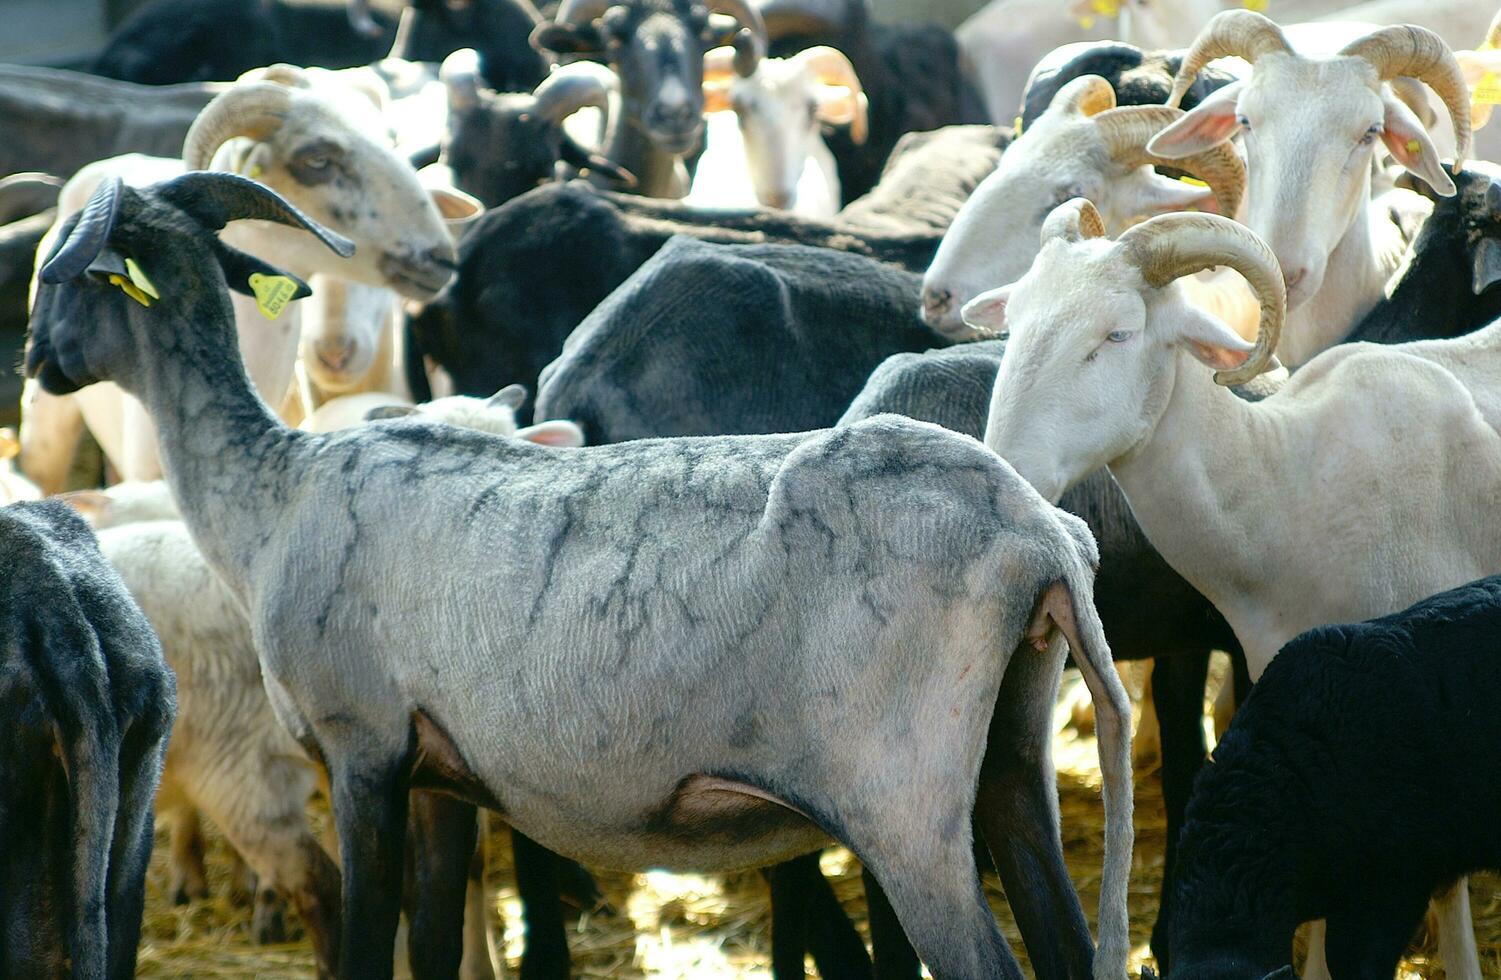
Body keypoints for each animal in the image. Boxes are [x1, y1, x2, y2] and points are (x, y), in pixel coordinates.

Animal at [23, 168, 1128, 978]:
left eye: (62, 276)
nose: (33, 363)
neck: (270, 490)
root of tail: (1035, 533)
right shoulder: (437, 770)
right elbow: (434, 944)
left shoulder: (361, 747)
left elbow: (373, 942)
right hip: (1007, 753)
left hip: (900, 795)